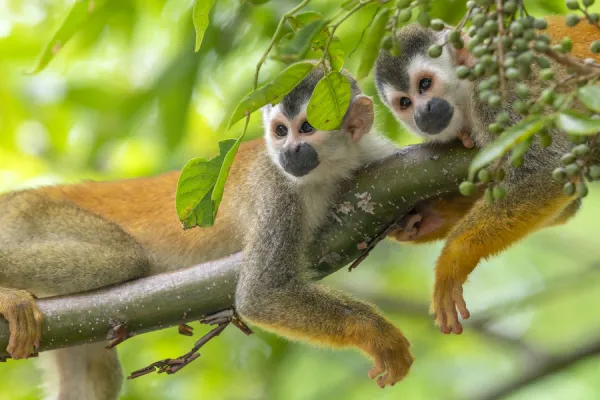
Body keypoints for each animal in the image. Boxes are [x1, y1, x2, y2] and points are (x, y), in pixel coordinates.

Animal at [0, 67, 418, 396]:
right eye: (280, 131)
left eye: (308, 128)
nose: (290, 152)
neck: (331, 170)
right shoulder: (276, 188)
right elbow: (262, 294)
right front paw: (376, 331)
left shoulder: (379, 157)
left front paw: (422, 221)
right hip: (32, 215)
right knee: (123, 260)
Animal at [376, 15, 596, 334]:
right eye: (405, 102)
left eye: (425, 84)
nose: (422, 112)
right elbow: (566, 204)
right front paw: (429, 217)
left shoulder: (501, 92)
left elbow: (545, 171)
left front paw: (451, 261)